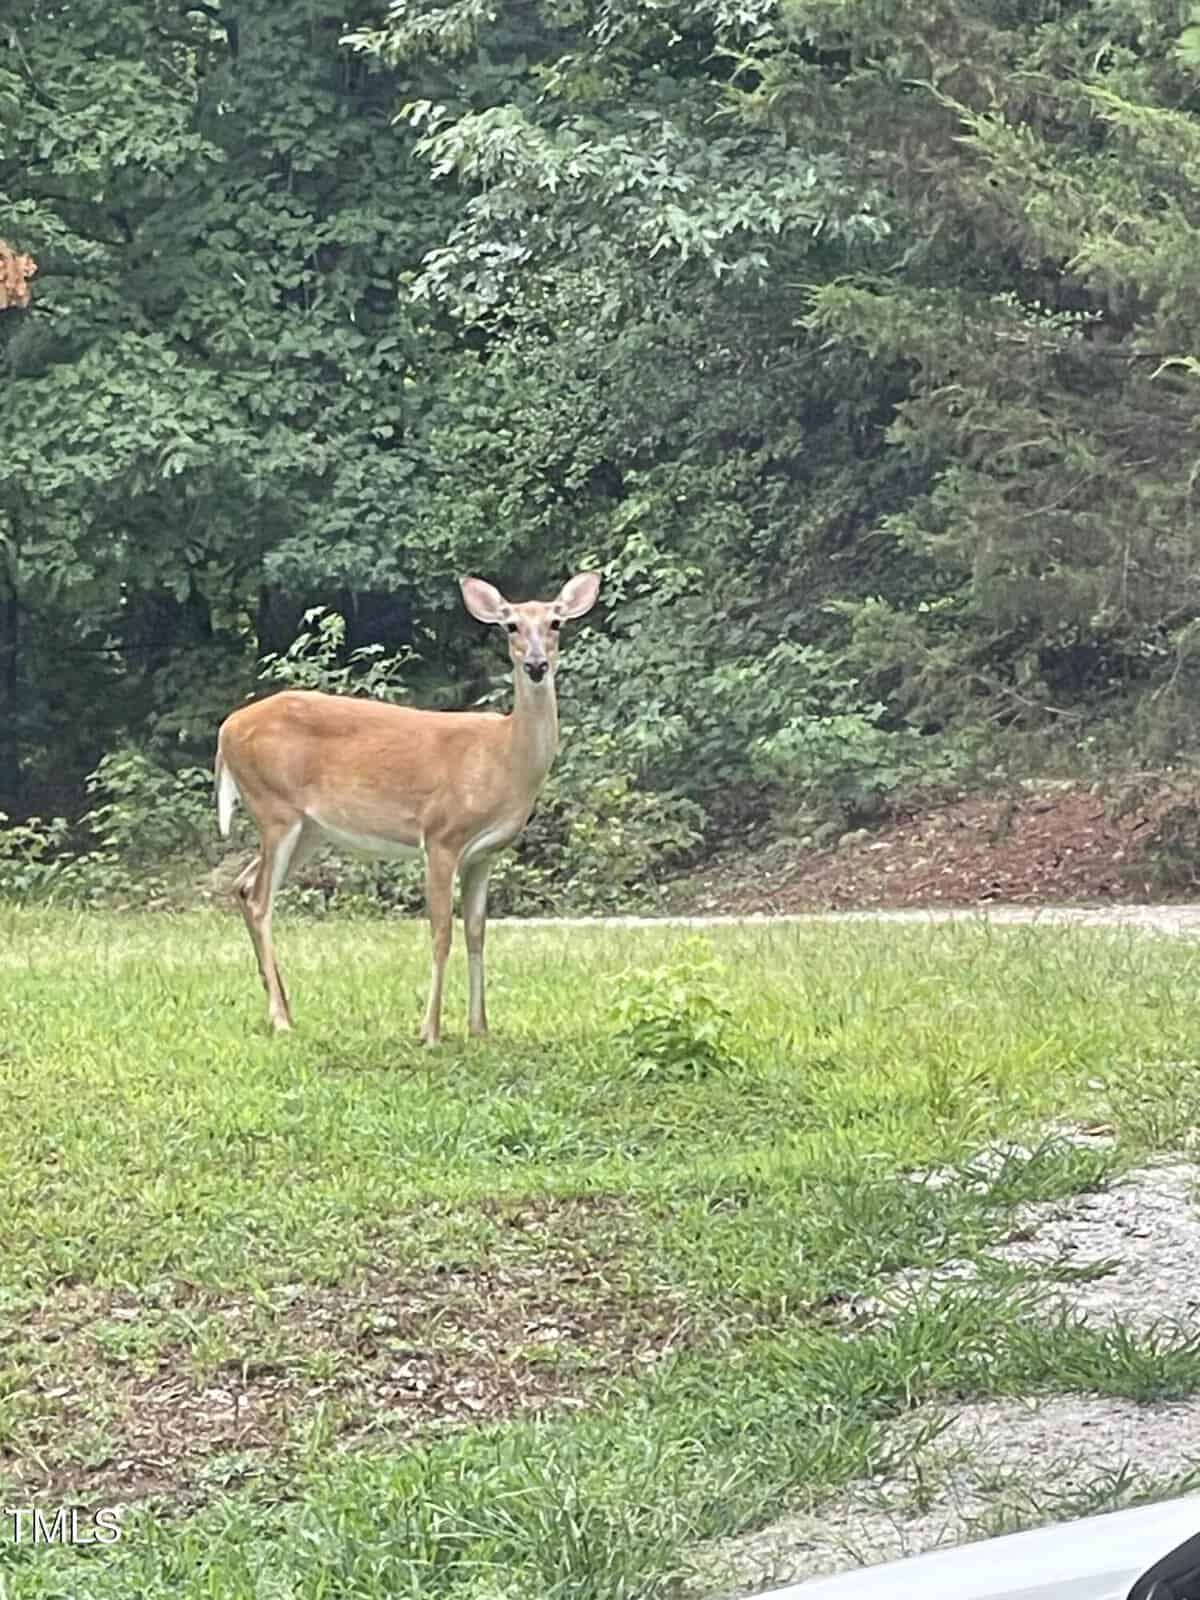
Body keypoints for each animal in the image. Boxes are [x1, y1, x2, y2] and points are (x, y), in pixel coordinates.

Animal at [214, 571, 601, 1044]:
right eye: (510, 625)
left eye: (555, 622)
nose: (535, 664)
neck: (502, 758)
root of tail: (226, 730)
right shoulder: (440, 836)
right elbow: (441, 932)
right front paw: (430, 1031)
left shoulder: (485, 854)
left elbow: (476, 933)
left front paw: (480, 1029)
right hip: (274, 807)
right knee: (260, 900)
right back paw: (281, 1019)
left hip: (307, 828)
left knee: (244, 884)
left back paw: (284, 1007)